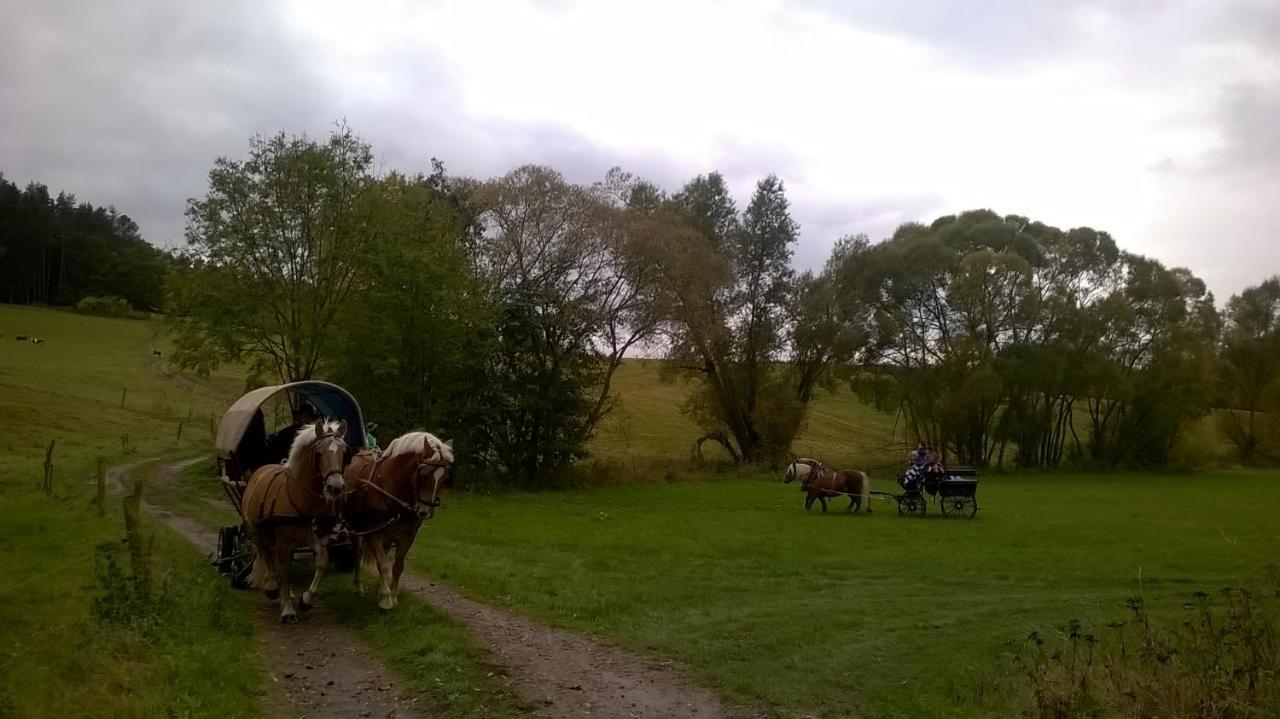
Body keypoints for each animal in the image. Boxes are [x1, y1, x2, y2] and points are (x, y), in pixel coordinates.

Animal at [240, 417, 348, 619]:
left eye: (343, 453)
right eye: (319, 453)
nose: (335, 487)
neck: (302, 499)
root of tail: (259, 471)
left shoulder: (314, 537)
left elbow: (322, 561)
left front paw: (306, 600)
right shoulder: (283, 541)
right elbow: (284, 573)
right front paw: (288, 611)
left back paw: (286, 593)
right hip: (256, 531)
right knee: (266, 554)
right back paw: (272, 587)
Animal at [345, 427, 455, 606]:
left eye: (444, 478)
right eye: (424, 474)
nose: (424, 511)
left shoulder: (407, 536)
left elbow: (397, 566)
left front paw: (393, 594)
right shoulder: (372, 534)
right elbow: (382, 564)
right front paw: (386, 599)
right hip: (356, 529)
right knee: (358, 553)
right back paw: (358, 586)